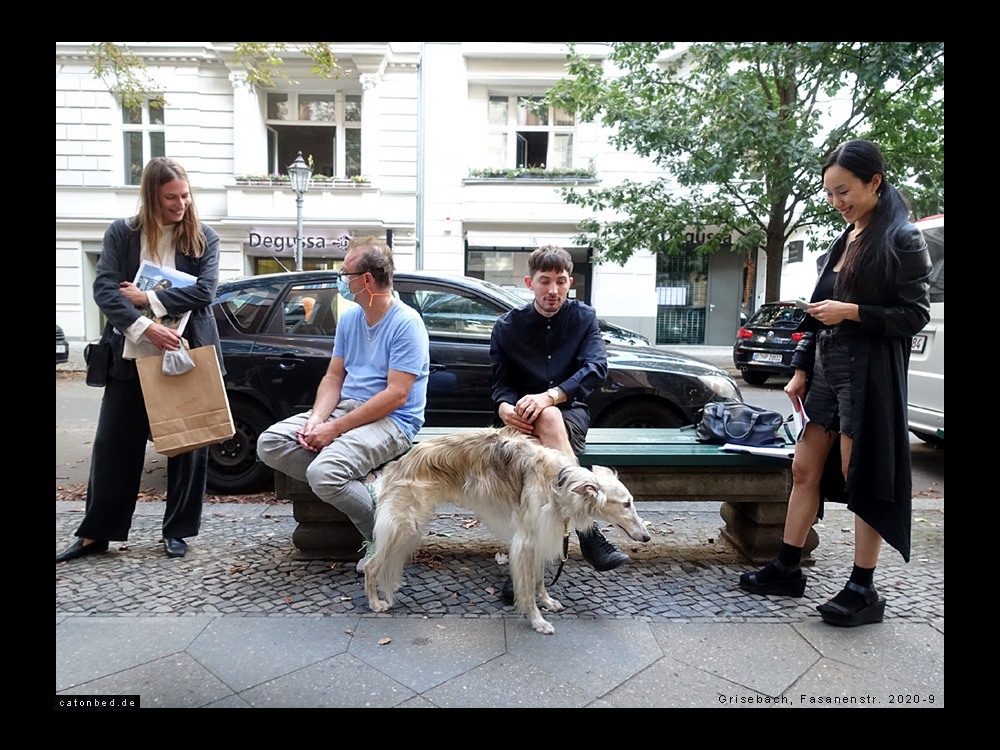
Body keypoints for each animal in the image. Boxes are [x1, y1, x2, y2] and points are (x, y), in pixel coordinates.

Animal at [364, 427, 650, 634]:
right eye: (626, 503)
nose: (646, 537)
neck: (558, 482)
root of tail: (396, 465)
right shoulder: (525, 542)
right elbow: (528, 587)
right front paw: (537, 620)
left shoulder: (538, 538)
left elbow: (539, 580)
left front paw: (547, 602)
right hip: (405, 526)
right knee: (370, 565)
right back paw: (375, 603)